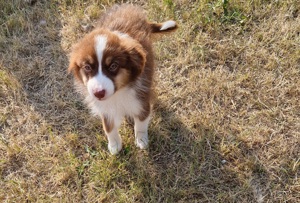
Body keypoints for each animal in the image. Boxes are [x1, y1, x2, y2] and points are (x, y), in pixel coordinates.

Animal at [67, 3, 178, 155]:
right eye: (87, 67)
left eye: (113, 66)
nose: (99, 93)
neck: (119, 92)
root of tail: (129, 7)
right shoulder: (104, 107)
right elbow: (108, 127)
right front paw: (114, 145)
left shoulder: (140, 99)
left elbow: (141, 121)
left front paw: (141, 140)